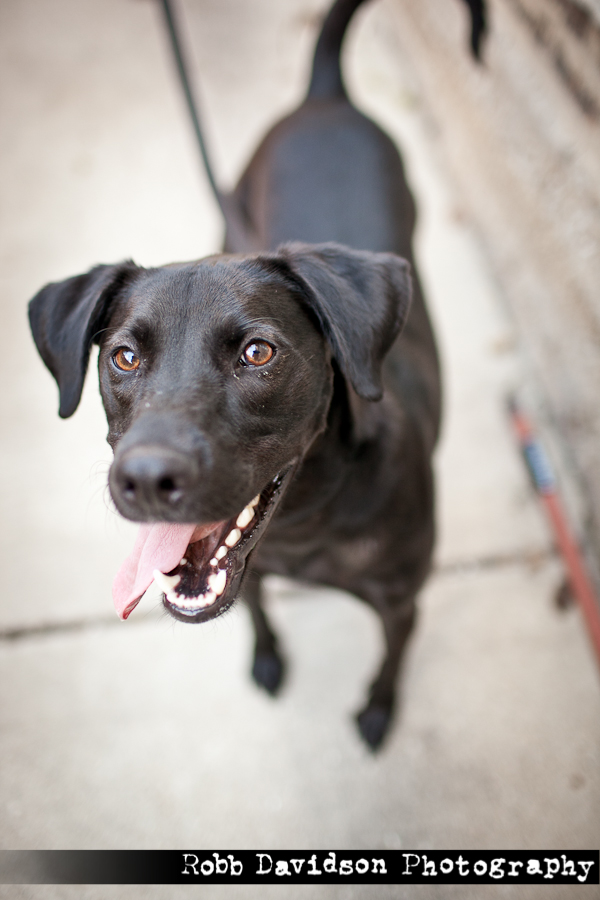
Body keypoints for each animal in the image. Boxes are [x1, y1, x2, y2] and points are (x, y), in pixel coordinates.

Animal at [28, 0, 443, 750]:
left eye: (257, 353)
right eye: (123, 357)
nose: (146, 481)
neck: (306, 519)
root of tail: (325, 95)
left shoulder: (403, 601)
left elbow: (390, 663)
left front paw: (377, 711)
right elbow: (252, 610)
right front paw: (267, 657)